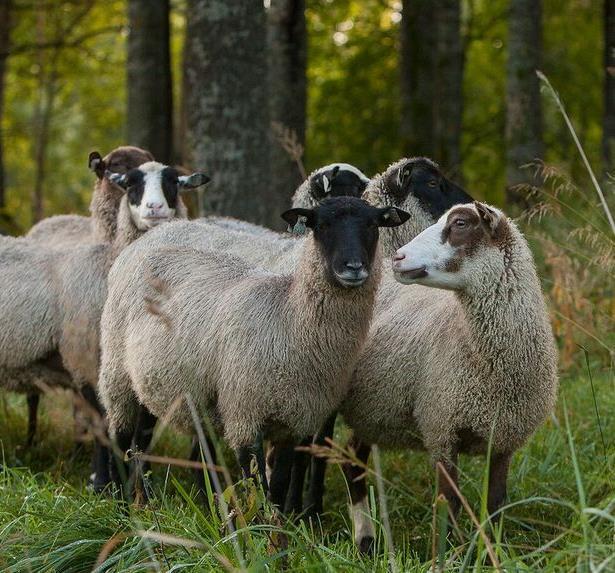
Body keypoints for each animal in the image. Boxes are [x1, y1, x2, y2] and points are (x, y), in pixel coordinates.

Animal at [98, 197, 412, 504]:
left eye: (373, 224)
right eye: (322, 225)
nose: (354, 267)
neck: (287, 318)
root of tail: (145, 244)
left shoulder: (293, 421)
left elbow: (279, 485)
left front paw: (279, 521)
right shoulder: (244, 415)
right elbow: (256, 488)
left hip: (152, 378)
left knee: (141, 440)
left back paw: (147, 503)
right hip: (116, 365)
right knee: (120, 435)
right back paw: (121, 504)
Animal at [340, 201, 560, 548]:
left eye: (459, 224)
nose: (398, 258)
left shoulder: (504, 439)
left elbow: (496, 502)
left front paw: (492, 550)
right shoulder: (441, 428)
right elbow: (448, 502)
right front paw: (445, 551)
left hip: (370, 410)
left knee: (351, 461)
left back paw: (366, 541)